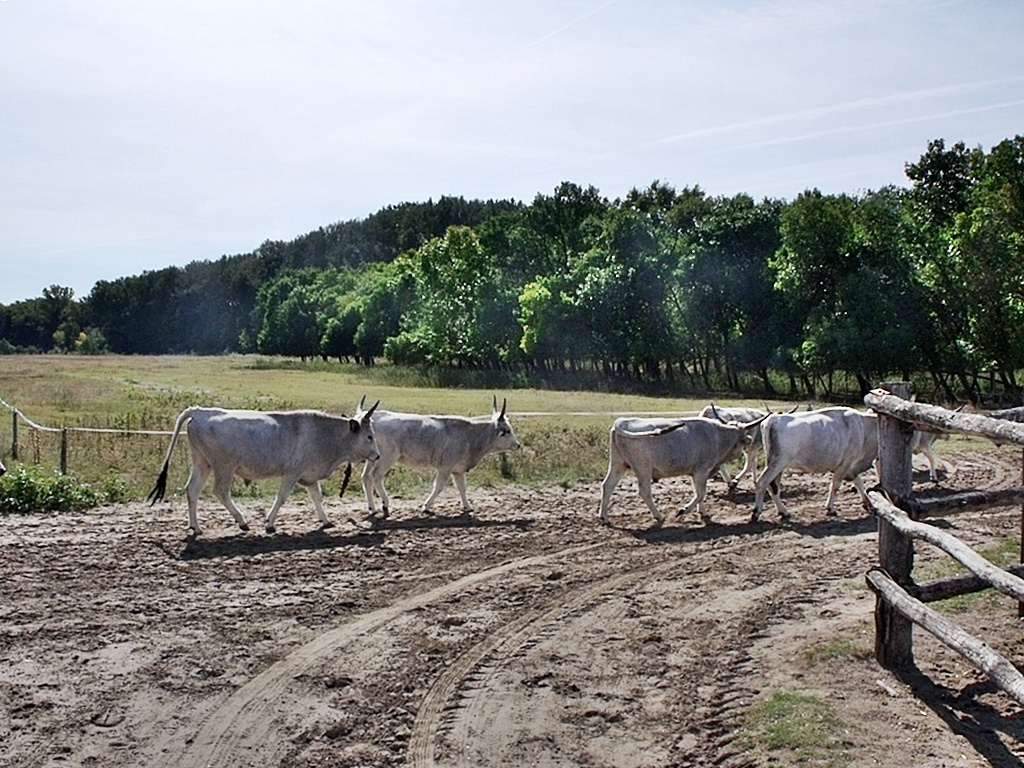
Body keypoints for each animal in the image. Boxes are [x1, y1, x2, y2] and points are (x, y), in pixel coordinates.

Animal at [148, 403, 380, 536]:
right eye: (369, 436)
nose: (377, 456)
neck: (323, 433)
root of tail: (200, 411)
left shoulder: (309, 475)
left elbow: (317, 497)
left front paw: (326, 520)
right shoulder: (292, 473)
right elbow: (282, 497)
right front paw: (269, 523)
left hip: (201, 462)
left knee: (192, 490)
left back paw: (195, 527)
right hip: (224, 466)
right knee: (220, 491)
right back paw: (241, 522)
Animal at [360, 399, 520, 520]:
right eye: (507, 431)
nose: (518, 445)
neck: (470, 436)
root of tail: (374, 417)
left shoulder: (458, 469)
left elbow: (462, 487)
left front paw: (467, 507)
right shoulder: (445, 467)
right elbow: (439, 486)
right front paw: (426, 507)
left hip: (373, 458)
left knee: (366, 477)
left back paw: (372, 508)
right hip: (387, 458)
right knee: (376, 476)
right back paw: (385, 504)